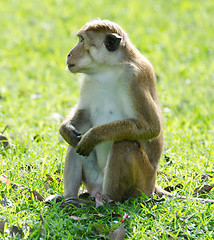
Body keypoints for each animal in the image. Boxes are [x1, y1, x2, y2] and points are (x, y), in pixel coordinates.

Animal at [57, 19, 214, 202]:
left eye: (82, 40)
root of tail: (153, 185)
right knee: (76, 142)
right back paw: (70, 199)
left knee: (123, 144)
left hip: (142, 183)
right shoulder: (87, 81)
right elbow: (85, 114)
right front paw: (66, 129)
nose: (69, 54)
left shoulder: (134, 78)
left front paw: (92, 136)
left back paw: (107, 201)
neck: (107, 69)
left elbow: (151, 127)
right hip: (94, 180)